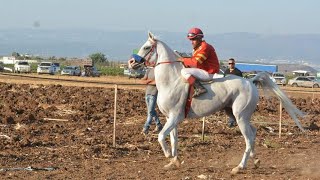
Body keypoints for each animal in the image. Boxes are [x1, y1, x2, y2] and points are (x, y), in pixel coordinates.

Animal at [129, 32, 304, 174]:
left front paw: (167, 155)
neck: (171, 80)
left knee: (248, 139)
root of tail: (250, 81)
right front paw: (174, 161)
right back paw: (255, 160)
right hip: (235, 114)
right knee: (253, 132)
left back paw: (239, 167)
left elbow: (160, 136)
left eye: (146, 47)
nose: (131, 62)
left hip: (240, 117)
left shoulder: (174, 117)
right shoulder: (170, 119)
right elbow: (173, 140)